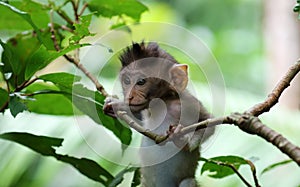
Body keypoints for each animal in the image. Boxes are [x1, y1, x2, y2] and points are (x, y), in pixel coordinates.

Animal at [104, 42, 214, 187]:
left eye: (141, 82)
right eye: (127, 81)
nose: (129, 97)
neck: (162, 103)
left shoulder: (186, 104)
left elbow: (208, 122)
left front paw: (183, 141)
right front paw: (116, 105)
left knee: (188, 182)